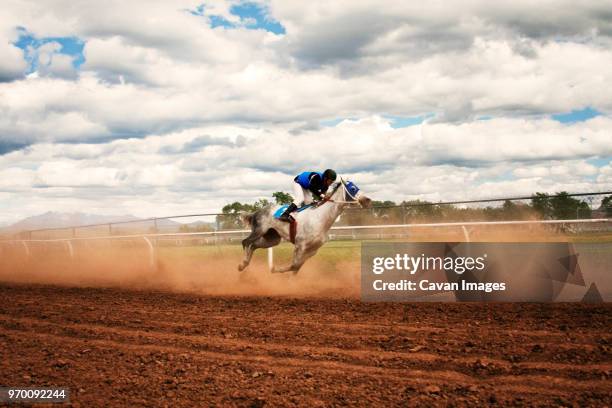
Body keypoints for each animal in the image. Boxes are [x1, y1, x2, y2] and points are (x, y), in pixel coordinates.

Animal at [238, 178, 372, 274]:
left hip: (272, 239)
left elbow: (296, 267)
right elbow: (294, 265)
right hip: (259, 230)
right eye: (353, 188)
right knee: (246, 242)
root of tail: (256, 212)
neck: (320, 218)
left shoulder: (312, 250)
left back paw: (245, 265)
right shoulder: (300, 246)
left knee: (254, 245)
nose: (367, 200)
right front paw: (275, 269)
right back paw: (242, 264)